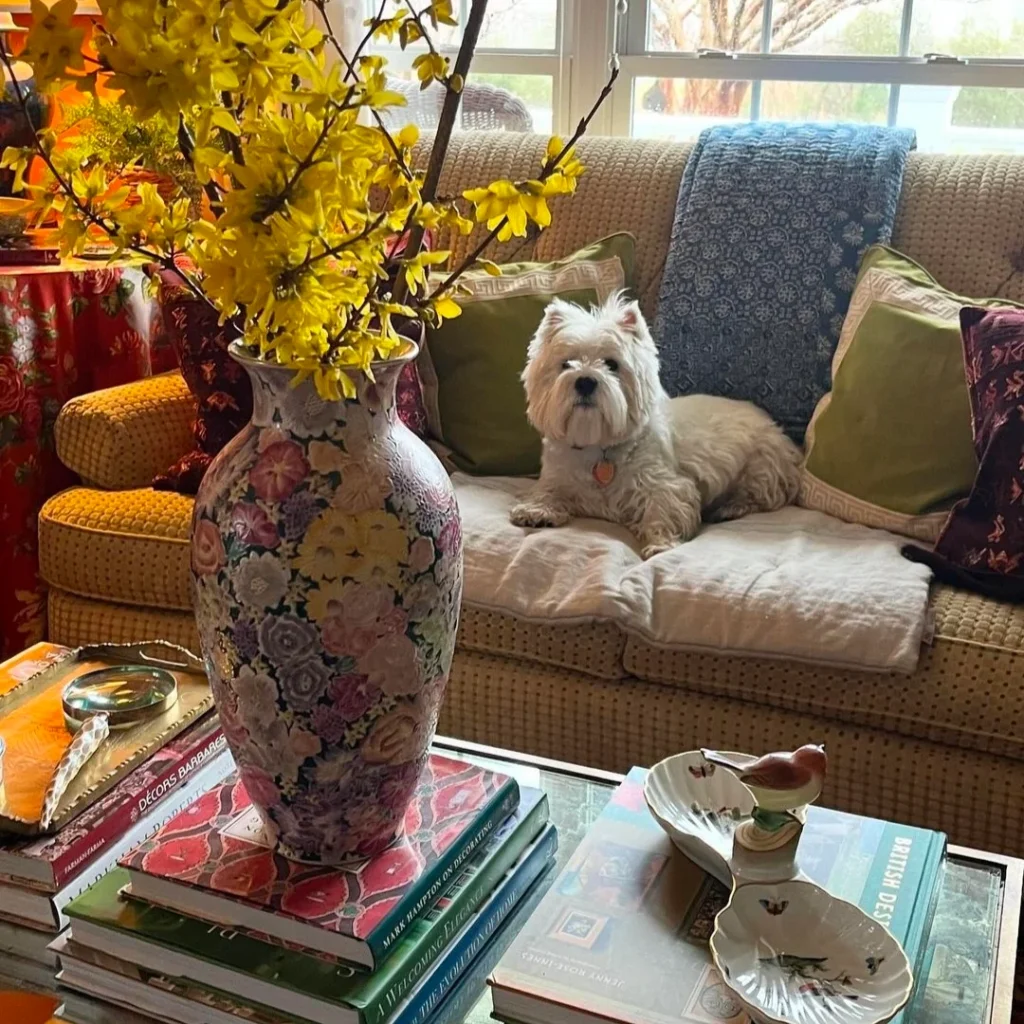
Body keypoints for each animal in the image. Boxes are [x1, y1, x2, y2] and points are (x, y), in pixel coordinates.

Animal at [507, 292, 802, 557]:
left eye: (612, 364)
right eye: (566, 363)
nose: (585, 381)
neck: (598, 445)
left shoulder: (667, 484)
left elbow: (663, 510)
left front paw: (661, 544)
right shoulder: (558, 476)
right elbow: (547, 490)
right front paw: (535, 511)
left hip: (761, 464)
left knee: (762, 495)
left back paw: (729, 508)